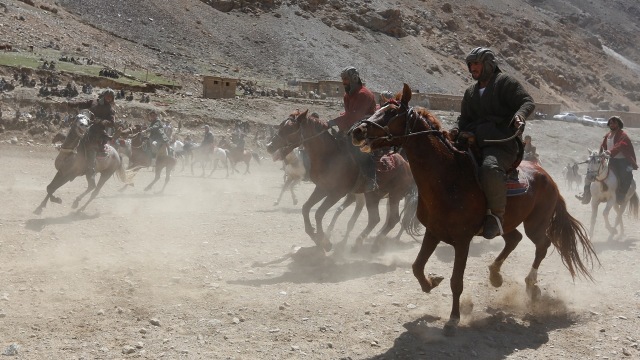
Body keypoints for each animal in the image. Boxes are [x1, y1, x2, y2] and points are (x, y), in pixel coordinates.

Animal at [264, 109, 416, 253]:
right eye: (280, 126)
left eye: (290, 128)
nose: (269, 146)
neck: (330, 156)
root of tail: (408, 166)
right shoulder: (322, 188)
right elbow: (305, 208)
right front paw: (314, 235)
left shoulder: (337, 192)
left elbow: (319, 213)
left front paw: (324, 241)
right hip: (373, 195)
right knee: (375, 219)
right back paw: (360, 243)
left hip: (394, 195)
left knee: (392, 219)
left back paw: (373, 244)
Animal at [350, 83, 600, 334]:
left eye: (392, 112)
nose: (357, 131)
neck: (448, 177)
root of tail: (548, 177)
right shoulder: (433, 232)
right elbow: (417, 266)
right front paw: (431, 282)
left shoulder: (462, 240)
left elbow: (456, 281)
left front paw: (453, 318)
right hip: (506, 223)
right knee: (514, 239)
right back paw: (495, 275)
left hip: (536, 224)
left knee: (542, 245)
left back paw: (531, 285)